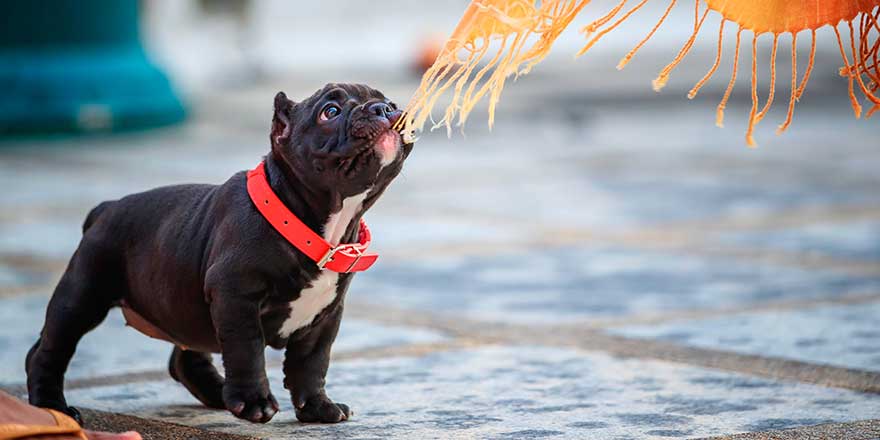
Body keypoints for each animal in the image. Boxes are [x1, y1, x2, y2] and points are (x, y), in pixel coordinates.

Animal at [26, 82, 412, 422]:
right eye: (329, 111)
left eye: (389, 101)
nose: (384, 108)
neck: (311, 224)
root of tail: (105, 209)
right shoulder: (235, 295)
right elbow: (246, 350)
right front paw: (254, 402)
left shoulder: (325, 315)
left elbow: (312, 363)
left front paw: (318, 408)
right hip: (83, 294)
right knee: (50, 349)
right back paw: (52, 405)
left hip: (182, 304)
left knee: (185, 356)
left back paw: (217, 392)